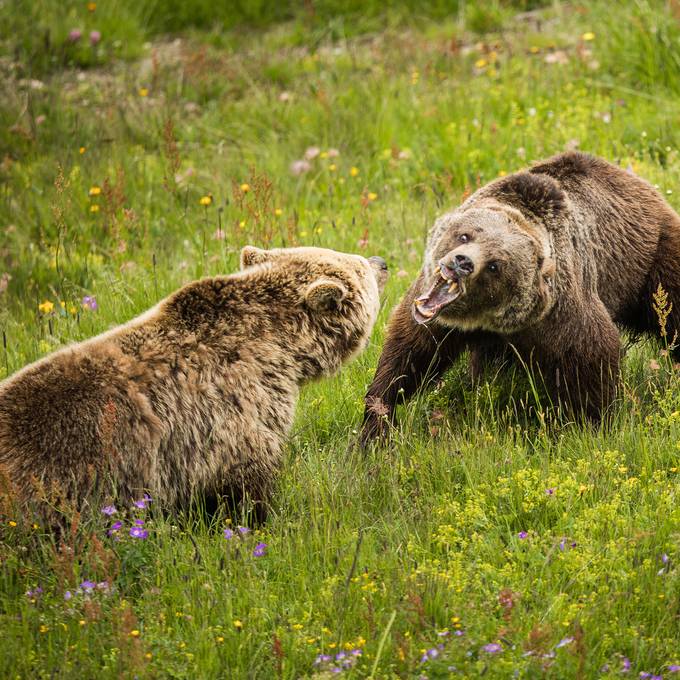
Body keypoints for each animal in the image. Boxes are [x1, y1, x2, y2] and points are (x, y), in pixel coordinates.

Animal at [364, 151, 680, 444]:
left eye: (495, 265)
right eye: (465, 235)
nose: (462, 262)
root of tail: (637, 182)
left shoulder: (559, 313)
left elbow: (590, 359)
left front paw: (588, 427)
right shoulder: (435, 317)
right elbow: (409, 353)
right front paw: (377, 420)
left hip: (651, 262)